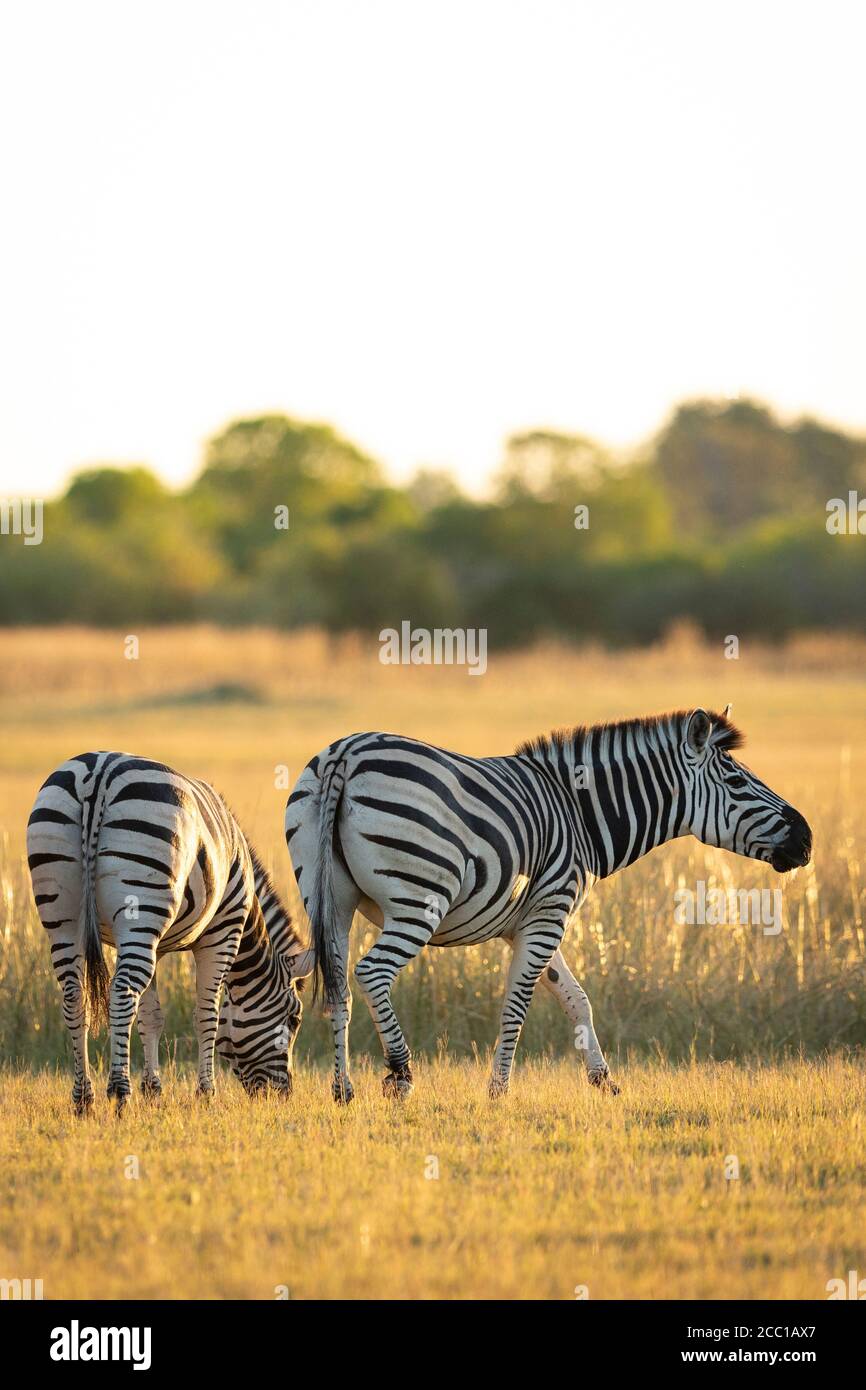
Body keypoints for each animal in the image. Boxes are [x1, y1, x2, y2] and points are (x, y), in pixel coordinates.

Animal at [27, 756, 311, 1112]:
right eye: (294, 1019)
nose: (282, 1094)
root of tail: (99, 773)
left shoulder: (154, 946)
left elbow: (152, 1016)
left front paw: (153, 1090)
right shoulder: (223, 934)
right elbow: (207, 1015)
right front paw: (206, 1093)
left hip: (65, 913)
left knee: (74, 996)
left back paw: (84, 1099)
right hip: (140, 902)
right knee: (122, 994)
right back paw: (119, 1092)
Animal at [286, 711, 811, 1100]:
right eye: (738, 783)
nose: (806, 839)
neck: (579, 814)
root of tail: (345, 753)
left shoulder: (532, 920)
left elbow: (576, 999)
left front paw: (603, 1080)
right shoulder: (550, 911)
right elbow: (518, 1004)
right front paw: (498, 1092)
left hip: (329, 899)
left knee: (338, 986)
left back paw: (343, 1089)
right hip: (419, 898)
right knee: (372, 972)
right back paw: (400, 1073)